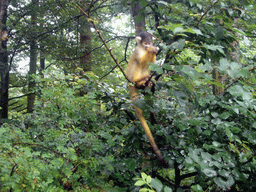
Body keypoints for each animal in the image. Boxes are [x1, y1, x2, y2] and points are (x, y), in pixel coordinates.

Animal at [126, 31, 168, 166]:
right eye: (145, 43)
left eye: (149, 42)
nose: (147, 46)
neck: (142, 48)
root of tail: (129, 84)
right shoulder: (138, 50)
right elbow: (140, 59)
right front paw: (151, 50)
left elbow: (150, 62)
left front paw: (154, 50)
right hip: (130, 77)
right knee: (138, 64)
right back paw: (139, 81)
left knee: (146, 66)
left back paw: (146, 82)